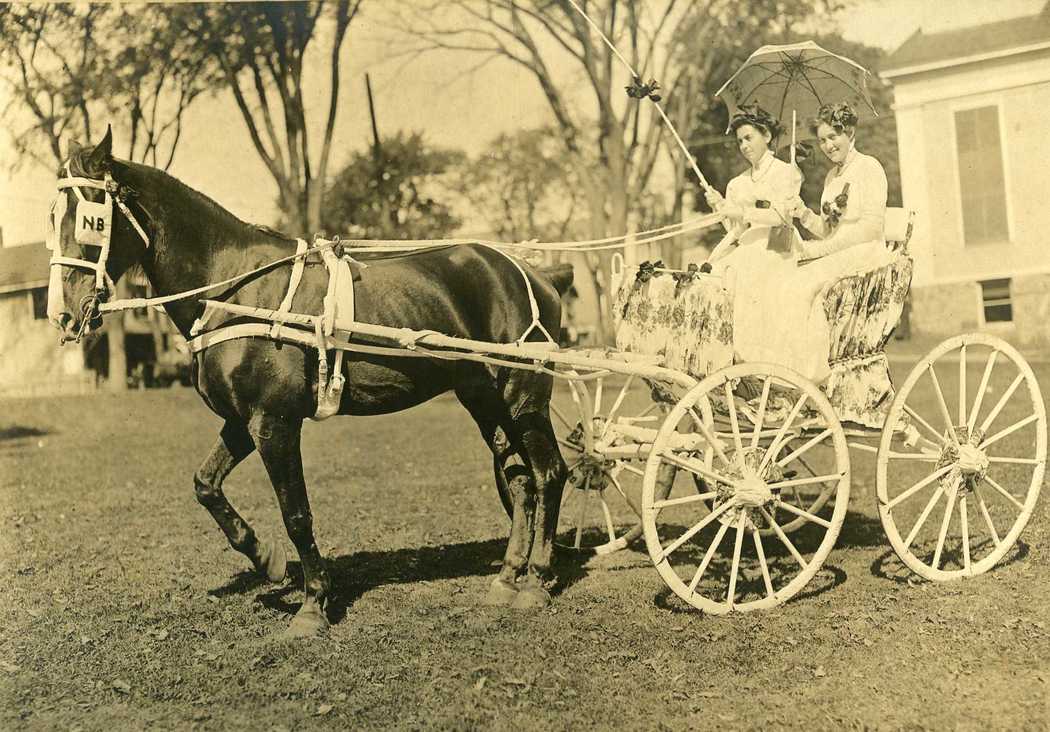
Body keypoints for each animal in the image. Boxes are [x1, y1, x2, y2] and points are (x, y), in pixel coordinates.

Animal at [48, 128, 571, 638]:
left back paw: (536, 581)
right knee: (521, 481)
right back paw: (508, 577)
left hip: (522, 399)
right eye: (54, 216)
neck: (236, 289)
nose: (64, 313)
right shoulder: (243, 422)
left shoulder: (275, 423)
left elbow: (296, 513)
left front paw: (312, 605)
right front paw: (268, 560)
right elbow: (206, 486)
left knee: (550, 474)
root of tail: (535, 273)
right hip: (483, 400)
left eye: (90, 218)